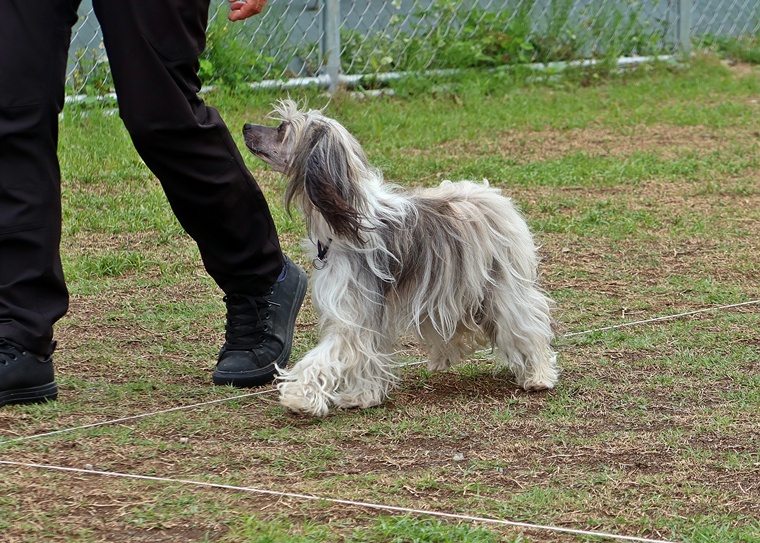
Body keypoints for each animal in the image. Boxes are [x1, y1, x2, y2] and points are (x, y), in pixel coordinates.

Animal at [243, 100, 559, 417]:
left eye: (282, 128)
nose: (245, 127)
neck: (347, 216)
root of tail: (494, 197)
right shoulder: (367, 312)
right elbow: (365, 355)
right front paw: (361, 395)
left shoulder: (353, 311)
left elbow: (329, 354)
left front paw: (299, 395)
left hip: (501, 286)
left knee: (525, 322)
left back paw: (538, 375)